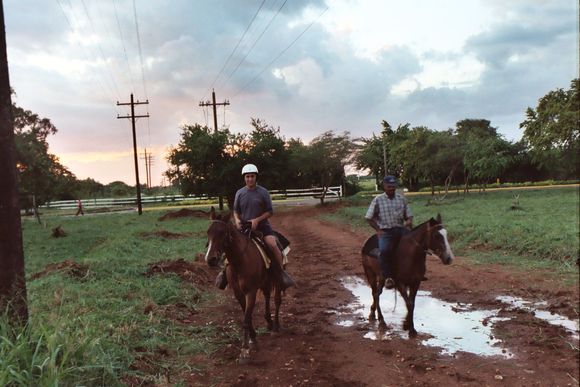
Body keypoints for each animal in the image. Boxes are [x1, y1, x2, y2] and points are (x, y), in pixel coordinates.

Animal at [204, 208, 284, 362]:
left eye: (222, 233)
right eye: (208, 232)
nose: (210, 259)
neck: (240, 261)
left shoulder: (250, 291)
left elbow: (246, 319)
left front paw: (245, 350)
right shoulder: (238, 293)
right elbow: (247, 315)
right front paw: (253, 339)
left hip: (276, 279)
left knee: (277, 300)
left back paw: (276, 327)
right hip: (264, 282)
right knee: (267, 296)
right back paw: (269, 322)